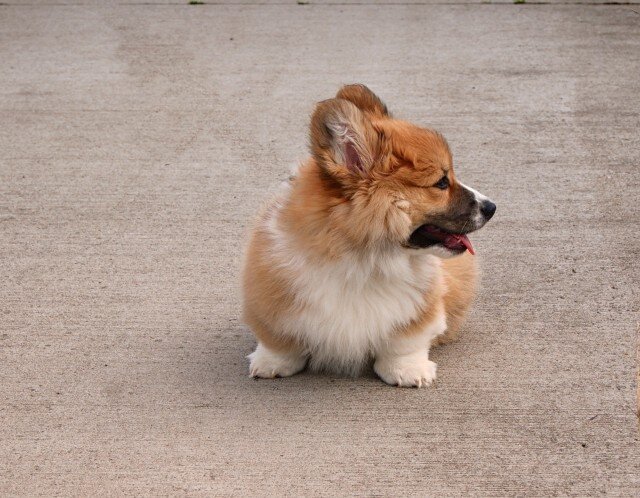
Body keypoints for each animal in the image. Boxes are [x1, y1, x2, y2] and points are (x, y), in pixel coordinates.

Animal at [240, 83, 496, 388]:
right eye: (442, 183)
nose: (492, 207)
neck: (365, 259)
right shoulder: (270, 298)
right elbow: (278, 341)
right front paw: (271, 363)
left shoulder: (420, 308)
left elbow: (406, 342)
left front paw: (407, 370)